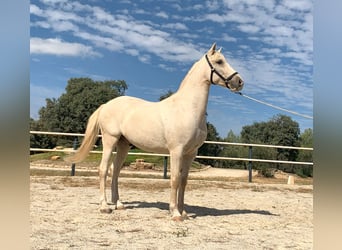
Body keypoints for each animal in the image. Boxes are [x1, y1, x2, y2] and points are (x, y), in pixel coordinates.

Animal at [67, 43, 243, 221]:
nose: (239, 82)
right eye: (219, 61)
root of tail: (105, 105)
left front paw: (184, 212)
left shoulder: (190, 153)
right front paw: (175, 213)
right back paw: (104, 207)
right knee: (103, 170)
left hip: (123, 145)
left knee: (114, 171)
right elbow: (175, 179)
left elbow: (184, 181)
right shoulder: (176, 151)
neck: (187, 108)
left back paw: (119, 204)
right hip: (110, 140)